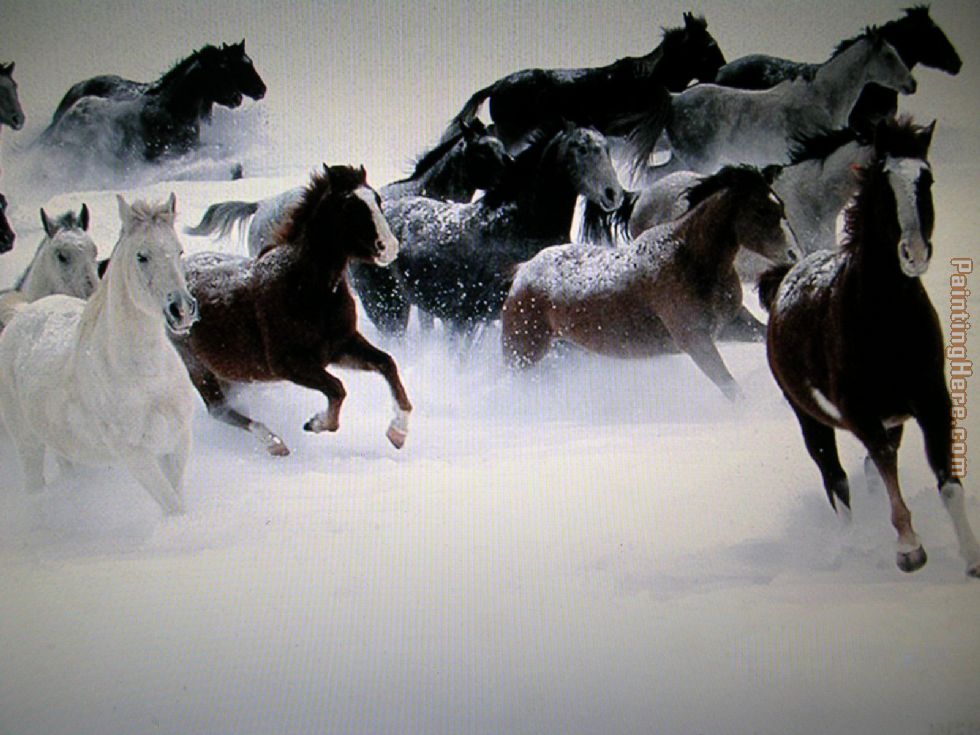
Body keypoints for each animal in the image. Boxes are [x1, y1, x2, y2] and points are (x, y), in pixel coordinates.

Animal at [0, 194, 198, 515]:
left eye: (179, 250)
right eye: (141, 256)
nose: (181, 310)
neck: (147, 376)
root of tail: (21, 312)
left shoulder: (177, 441)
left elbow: (177, 498)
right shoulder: (137, 456)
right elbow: (173, 506)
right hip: (28, 443)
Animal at [170, 165, 413, 456]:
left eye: (377, 200)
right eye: (348, 206)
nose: (390, 248)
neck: (305, 289)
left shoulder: (340, 346)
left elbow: (386, 363)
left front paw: (398, 432)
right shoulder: (290, 364)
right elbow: (337, 389)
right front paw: (317, 424)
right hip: (196, 365)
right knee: (218, 410)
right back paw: (274, 443)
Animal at [501, 166, 798, 401]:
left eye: (782, 206)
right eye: (760, 210)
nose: (793, 254)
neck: (692, 259)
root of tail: (523, 270)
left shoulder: (731, 325)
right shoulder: (695, 340)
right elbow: (732, 389)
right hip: (522, 352)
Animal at [761, 119, 980, 577]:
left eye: (926, 179)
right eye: (883, 185)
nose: (914, 253)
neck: (885, 321)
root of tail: (783, 278)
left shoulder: (933, 401)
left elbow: (947, 483)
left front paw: (972, 558)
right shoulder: (858, 411)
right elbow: (881, 463)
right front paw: (909, 549)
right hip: (810, 419)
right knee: (836, 479)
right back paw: (848, 546)